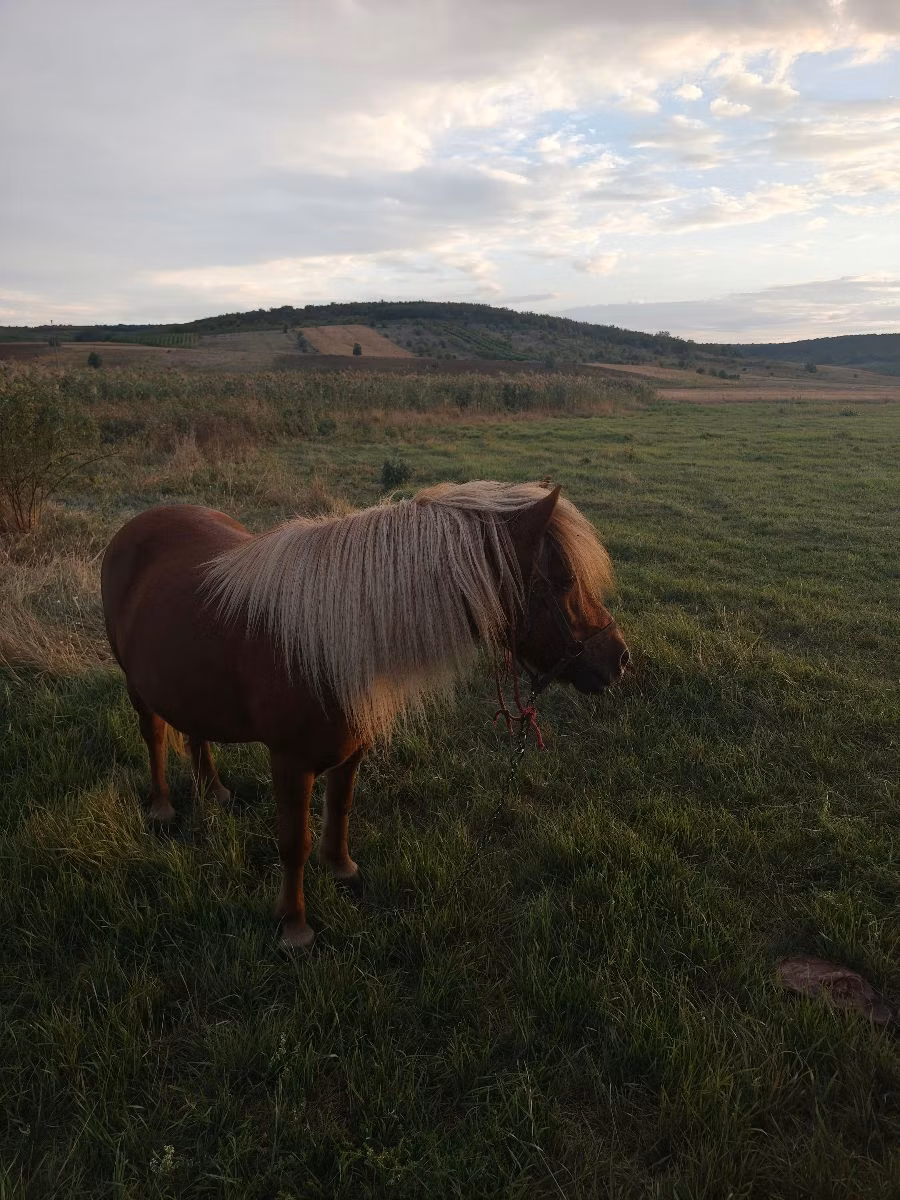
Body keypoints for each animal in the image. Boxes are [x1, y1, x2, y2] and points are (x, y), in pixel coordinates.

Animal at [101, 481, 629, 949]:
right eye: (564, 581)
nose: (619, 659)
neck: (326, 641)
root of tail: (137, 523)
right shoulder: (289, 763)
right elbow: (293, 842)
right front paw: (294, 926)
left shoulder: (352, 750)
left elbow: (341, 808)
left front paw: (342, 870)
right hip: (137, 687)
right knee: (154, 736)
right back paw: (162, 808)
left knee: (196, 735)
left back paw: (214, 791)